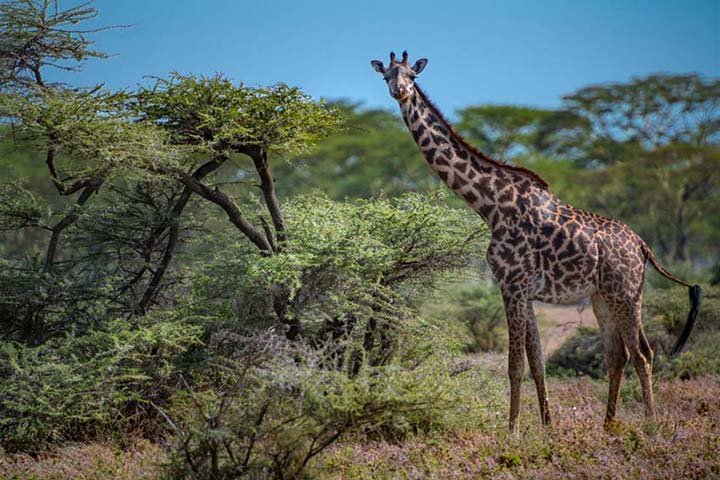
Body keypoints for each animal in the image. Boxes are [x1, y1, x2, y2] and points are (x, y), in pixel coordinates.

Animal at [371, 51, 702, 434]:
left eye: (412, 75)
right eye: (387, 77)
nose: (400, 92)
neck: (490, 206)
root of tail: (643, 246)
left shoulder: (511, 284)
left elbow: (514, 364)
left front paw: (512, 430)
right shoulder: (525, 291)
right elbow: (537, 361)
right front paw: (547, 426)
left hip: (626, 294)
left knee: (643, 354)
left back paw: (650, 426)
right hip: (602, 298)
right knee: (617, 355)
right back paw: (607, 426)